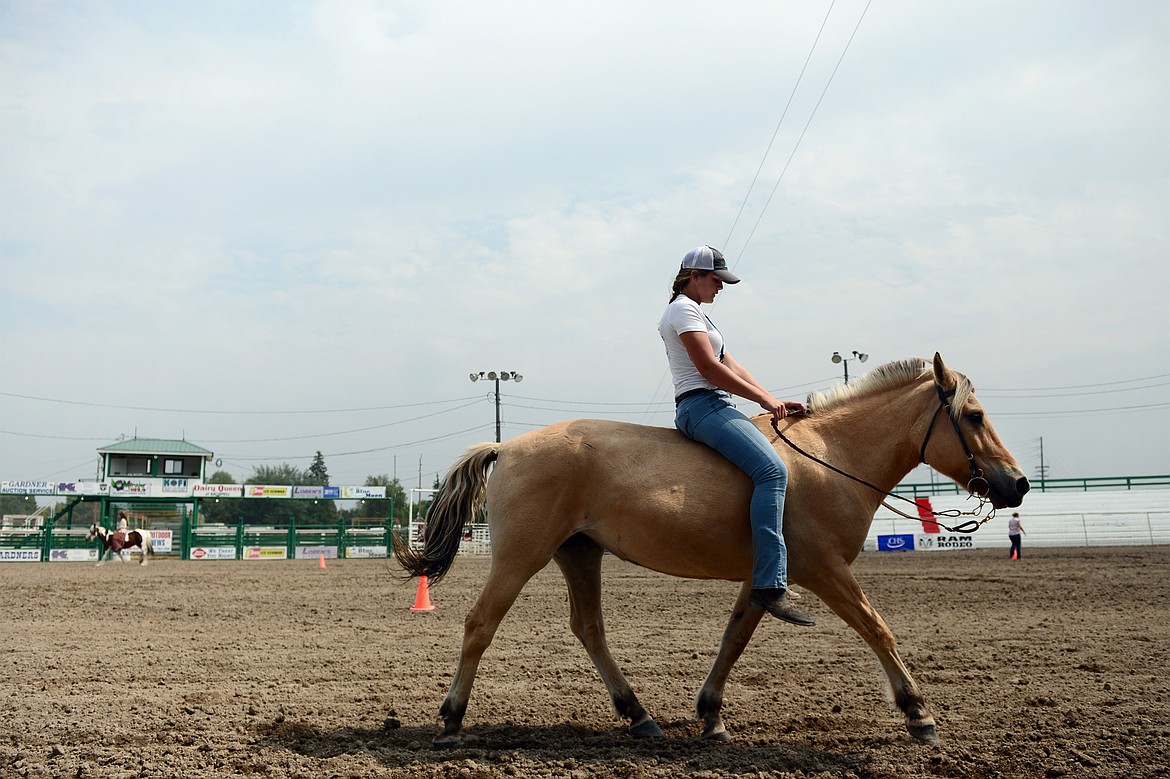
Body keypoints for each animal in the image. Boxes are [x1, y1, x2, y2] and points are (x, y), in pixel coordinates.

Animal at [393, 353, 1024, 748]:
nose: (1016, 484)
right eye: (973, 416)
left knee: (589, 628)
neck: (829, 457)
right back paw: (450, 720)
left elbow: (734, 639)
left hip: (579, 553)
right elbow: (878, 628)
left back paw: (639, 716)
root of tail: (506, 446)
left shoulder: (762, 578)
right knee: (481, 623)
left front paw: (711, 715)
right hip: (521, 556)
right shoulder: (824, 570)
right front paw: (919, 713)